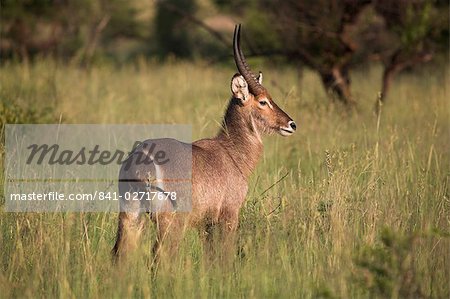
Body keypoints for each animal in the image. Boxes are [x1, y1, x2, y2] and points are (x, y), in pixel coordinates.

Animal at [111, 24, 298, 262]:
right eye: (263, 101)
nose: (291, 124)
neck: (231, 151)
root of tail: (140, 160)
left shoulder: (206, 225)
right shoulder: (229, 215)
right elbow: (225, 256)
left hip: (130, 215)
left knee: (120, 254)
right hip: (169, 221)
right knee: (161, 255)